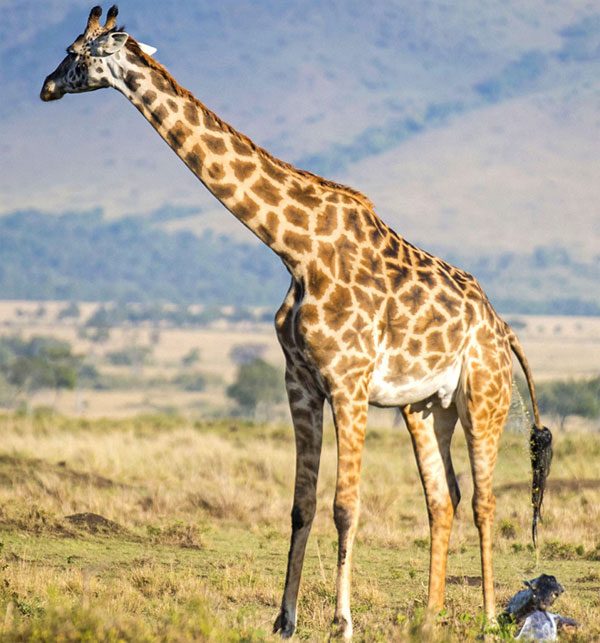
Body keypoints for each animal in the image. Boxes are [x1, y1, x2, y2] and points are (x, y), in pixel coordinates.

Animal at [41, 6, 553, 639]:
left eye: (76, 54)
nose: (46, 86)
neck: (295, 249)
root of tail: (503, 328)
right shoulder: (301, 383)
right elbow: (301, 504)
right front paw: (284, 619)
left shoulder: (349, 384)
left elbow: (344, 506)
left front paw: (342, 621)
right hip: (425, 406)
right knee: (444, 497)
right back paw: (428, 618)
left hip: (484, 396)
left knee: (484, 500)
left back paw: (484, 619)